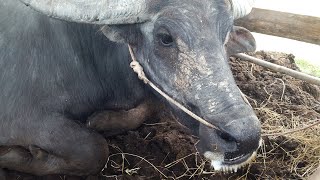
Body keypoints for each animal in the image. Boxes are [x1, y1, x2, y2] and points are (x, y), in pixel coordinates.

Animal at [0, 0, 260, 176]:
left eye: (226, 32)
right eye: (165, 37)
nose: (245, 138)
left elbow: (148, 106)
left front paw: (104, 121)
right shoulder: (23, 120)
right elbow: (94, 149)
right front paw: (13, 155)